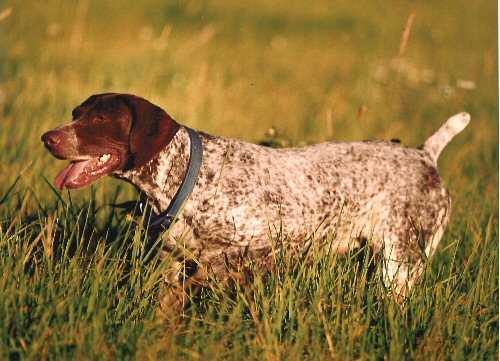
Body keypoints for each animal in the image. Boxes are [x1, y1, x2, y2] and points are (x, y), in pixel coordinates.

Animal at [41, 93, 470, 310]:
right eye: (75, 113)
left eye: (99, 121)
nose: (48, 137)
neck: (186, 176)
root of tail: (425, 155)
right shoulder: (171, 266)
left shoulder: (260, 249)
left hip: (400, 265)